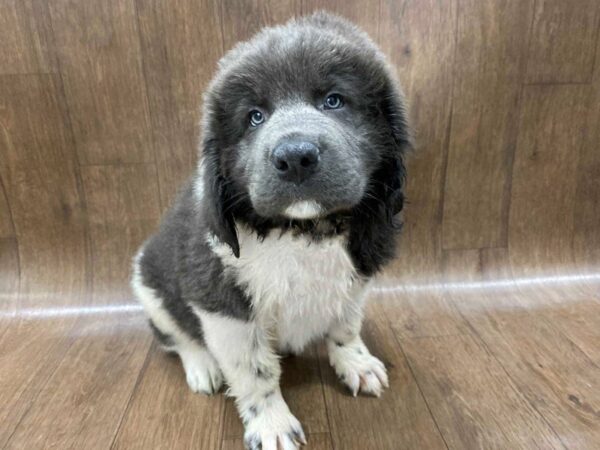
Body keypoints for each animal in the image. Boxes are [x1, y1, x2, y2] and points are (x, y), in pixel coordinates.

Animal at [132, 10, 410, 450]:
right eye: (254, 117)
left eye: (334, 100)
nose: (295, 157)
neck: (302, 229)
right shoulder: (223, 305)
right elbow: (254, 373)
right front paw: (272, 425)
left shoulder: (355, 277)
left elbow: (346, 326)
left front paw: (355, 362)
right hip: (149, 287)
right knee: (178, 337)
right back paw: (202, 367)